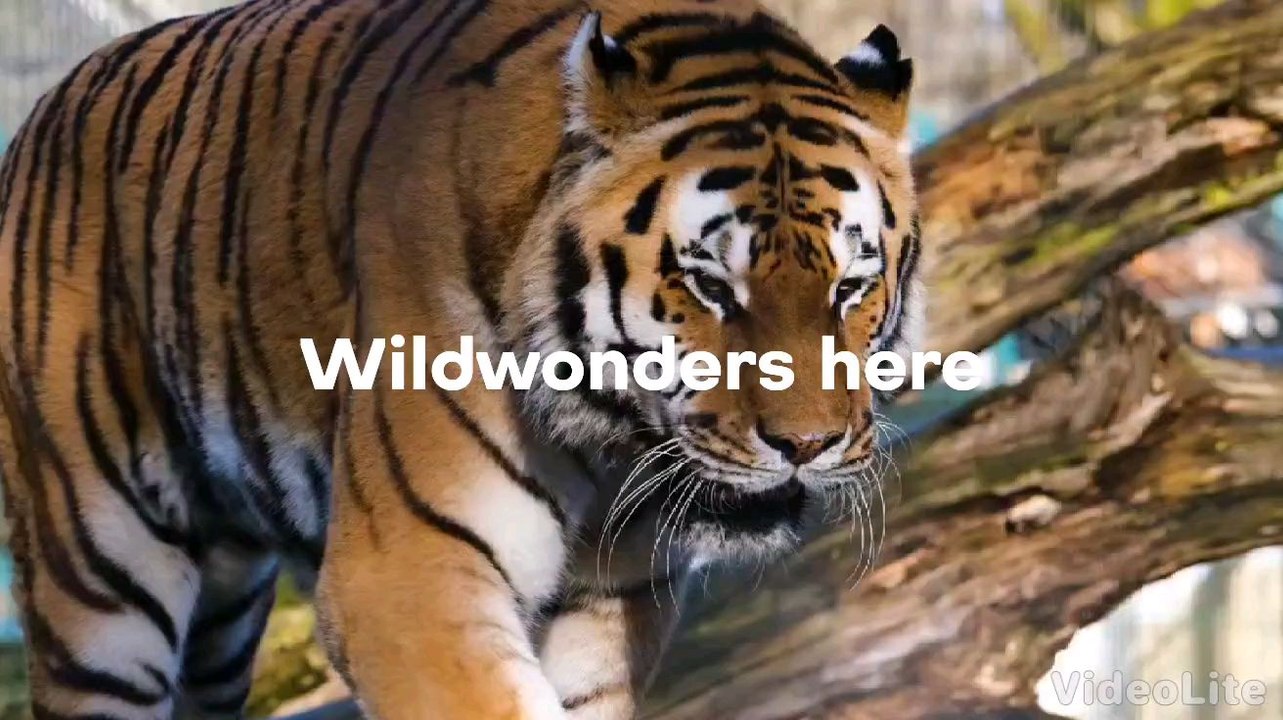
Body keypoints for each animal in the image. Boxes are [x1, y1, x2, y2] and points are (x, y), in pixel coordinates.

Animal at [0, 0, 921, 717]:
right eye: (710, 286)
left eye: (849, 287)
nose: (805, 447)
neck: (609, 445)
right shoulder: (405, 573)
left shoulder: (609, 596)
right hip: (100, 582)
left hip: (223, 607)